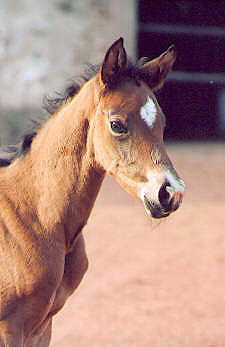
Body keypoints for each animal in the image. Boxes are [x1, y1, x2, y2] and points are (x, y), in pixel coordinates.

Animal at [0, 38, 185, 346]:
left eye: (163, 123)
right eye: (116, 124)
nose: (170, 192)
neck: (33, 219)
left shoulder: (42, 328)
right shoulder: (9, 328)